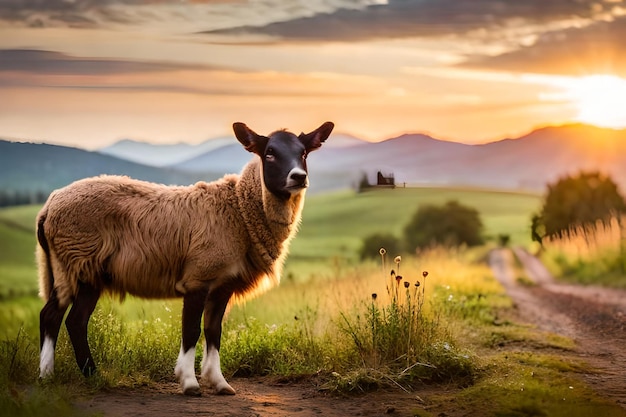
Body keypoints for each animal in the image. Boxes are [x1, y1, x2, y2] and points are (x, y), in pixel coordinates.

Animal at [36, 121, 334, 396]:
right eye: (270, 153)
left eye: (304, 152)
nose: (298, 177)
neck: (240, 209)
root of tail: (49, 205)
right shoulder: (198, 276)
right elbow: (191, 330)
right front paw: (189, 383)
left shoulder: (223, 284)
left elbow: (213, 332)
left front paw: (219, 382)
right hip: (72, 260)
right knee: (53, 315)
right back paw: (49, 375)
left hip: (84, 270)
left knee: (73, 320)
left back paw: (88, 375)